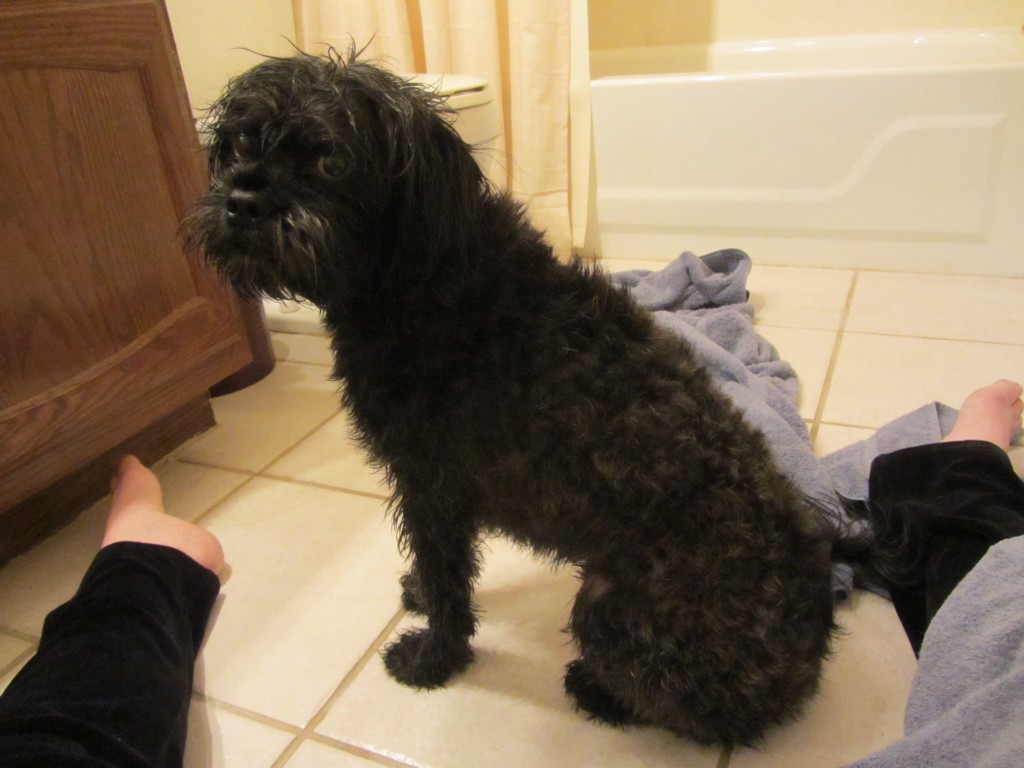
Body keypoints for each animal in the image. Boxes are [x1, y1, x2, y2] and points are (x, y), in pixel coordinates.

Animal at [188, 46, 843, 745]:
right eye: (241, 143)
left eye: (330, 161)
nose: (244, 201)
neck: (420, 277)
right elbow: (438, 570)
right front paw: (419, 592)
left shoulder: (430, 484)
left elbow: (450, 586)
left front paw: (432, 658)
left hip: (607, 608)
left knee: (708, 717)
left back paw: (598, 690)